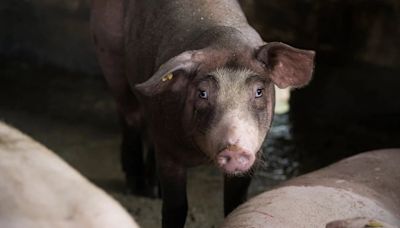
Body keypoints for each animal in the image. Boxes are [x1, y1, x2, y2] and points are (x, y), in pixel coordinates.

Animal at [90, 0, 316, 227]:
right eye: (203, 93)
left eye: (259, 91)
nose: (234, 150)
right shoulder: (169, 154)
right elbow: (176, 207)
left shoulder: (254, 154)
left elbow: (235, 204)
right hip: (109, 51)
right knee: (130, 117)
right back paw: (136, 188)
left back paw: (154, 191)